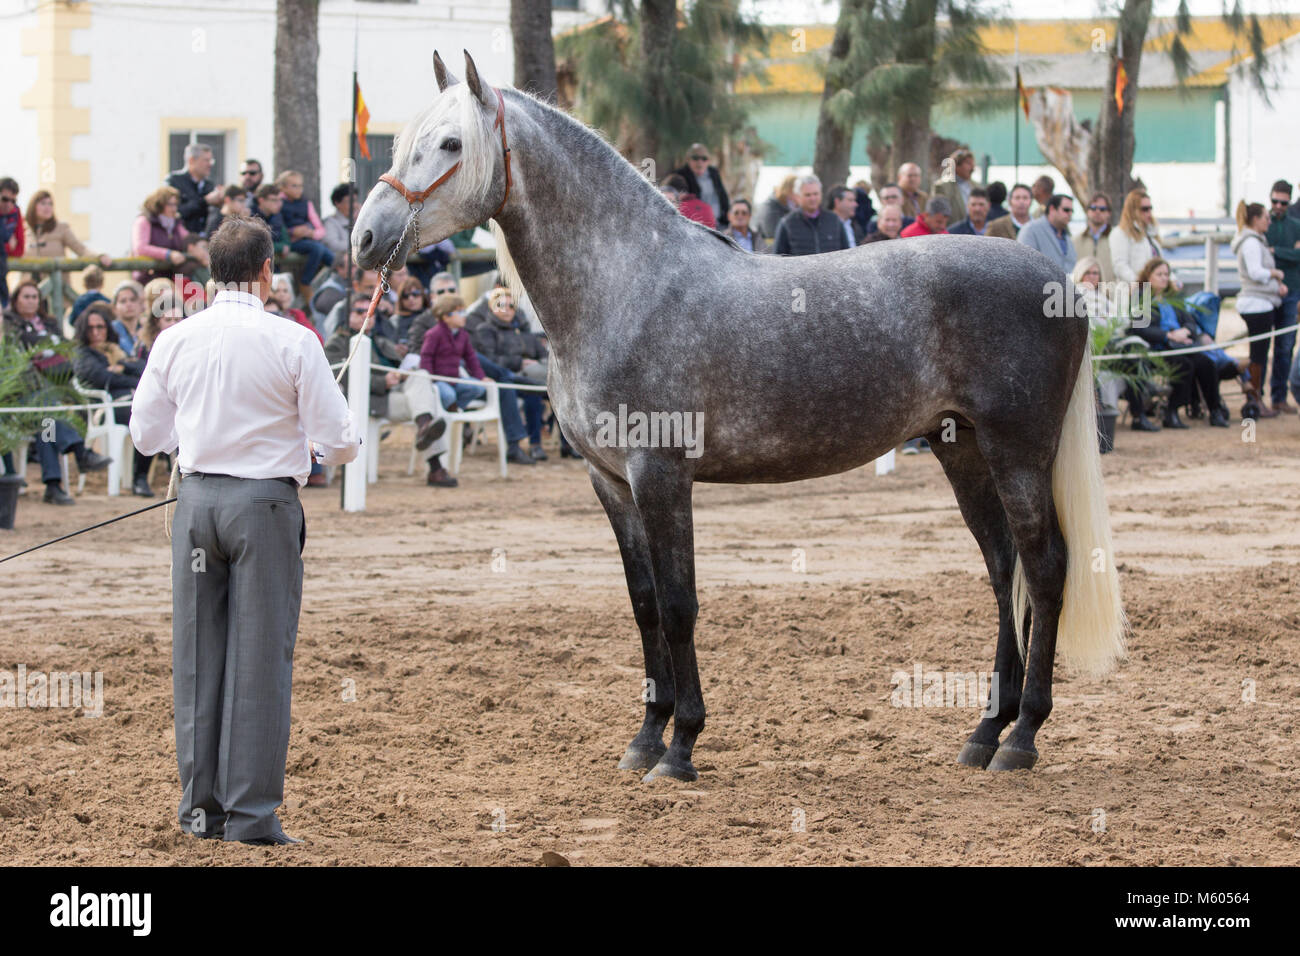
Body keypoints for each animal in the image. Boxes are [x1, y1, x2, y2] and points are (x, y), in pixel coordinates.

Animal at [351, 52, 1123, 780]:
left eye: (451, 142)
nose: (365, 237)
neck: (626, 287)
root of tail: (1058, 285)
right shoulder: (611, 482)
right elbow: (643, 604)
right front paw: (644, 738)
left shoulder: (661, 474)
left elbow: (679, 604)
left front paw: (681, 746)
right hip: (960, 449)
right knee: (1003, 570)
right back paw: (985, 732)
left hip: (1016, 454)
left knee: (1044, 568)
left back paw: (1022, 738)